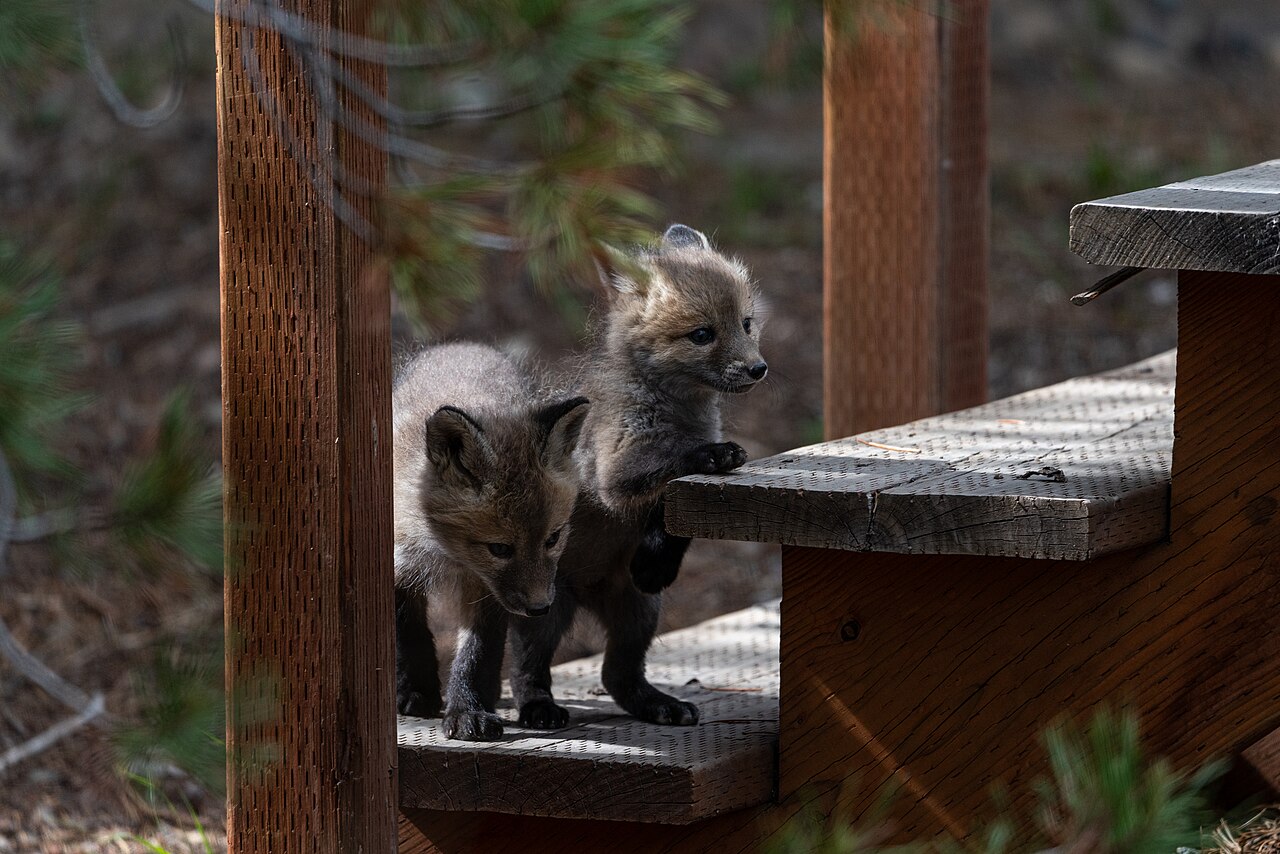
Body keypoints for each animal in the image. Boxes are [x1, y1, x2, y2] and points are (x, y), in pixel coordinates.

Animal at [393, 342, 590, 742]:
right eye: (499, 548)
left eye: (553, 538)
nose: (540, 607)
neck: (448, 553)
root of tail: (462, 346)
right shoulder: (399, 562)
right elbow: (410, 635)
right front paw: (418, 694)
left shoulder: (487, 593)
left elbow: (478, 653)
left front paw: (468, 709)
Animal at [509, 224, 766, 730]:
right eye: (702, 334)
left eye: (745, 323)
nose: (758, 368)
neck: (678, 413)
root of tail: (585, 591)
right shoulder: (615, 472)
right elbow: (675, 464)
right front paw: (717, 453)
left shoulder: (659, 501)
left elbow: (671, 514)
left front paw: (657, 561)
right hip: (544, 616)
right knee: (526, 672)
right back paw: (538, 709)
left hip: (639, 613)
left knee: (616, 676)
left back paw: (658, 704)